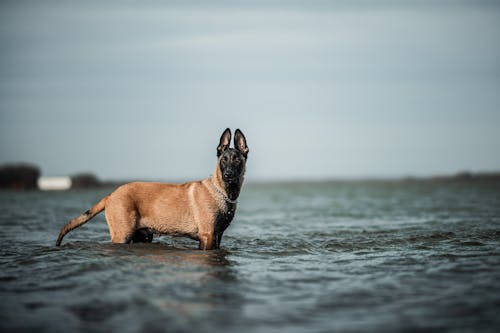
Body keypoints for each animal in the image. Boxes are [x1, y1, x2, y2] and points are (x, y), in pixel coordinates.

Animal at [56, 127, 248, 249]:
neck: (223, 193)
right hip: (122, 235)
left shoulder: (217, 236)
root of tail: (111, 195)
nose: (228, 175)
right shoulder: (207, 236)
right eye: (224, 160)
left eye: (237, 160)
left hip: (142, 236)